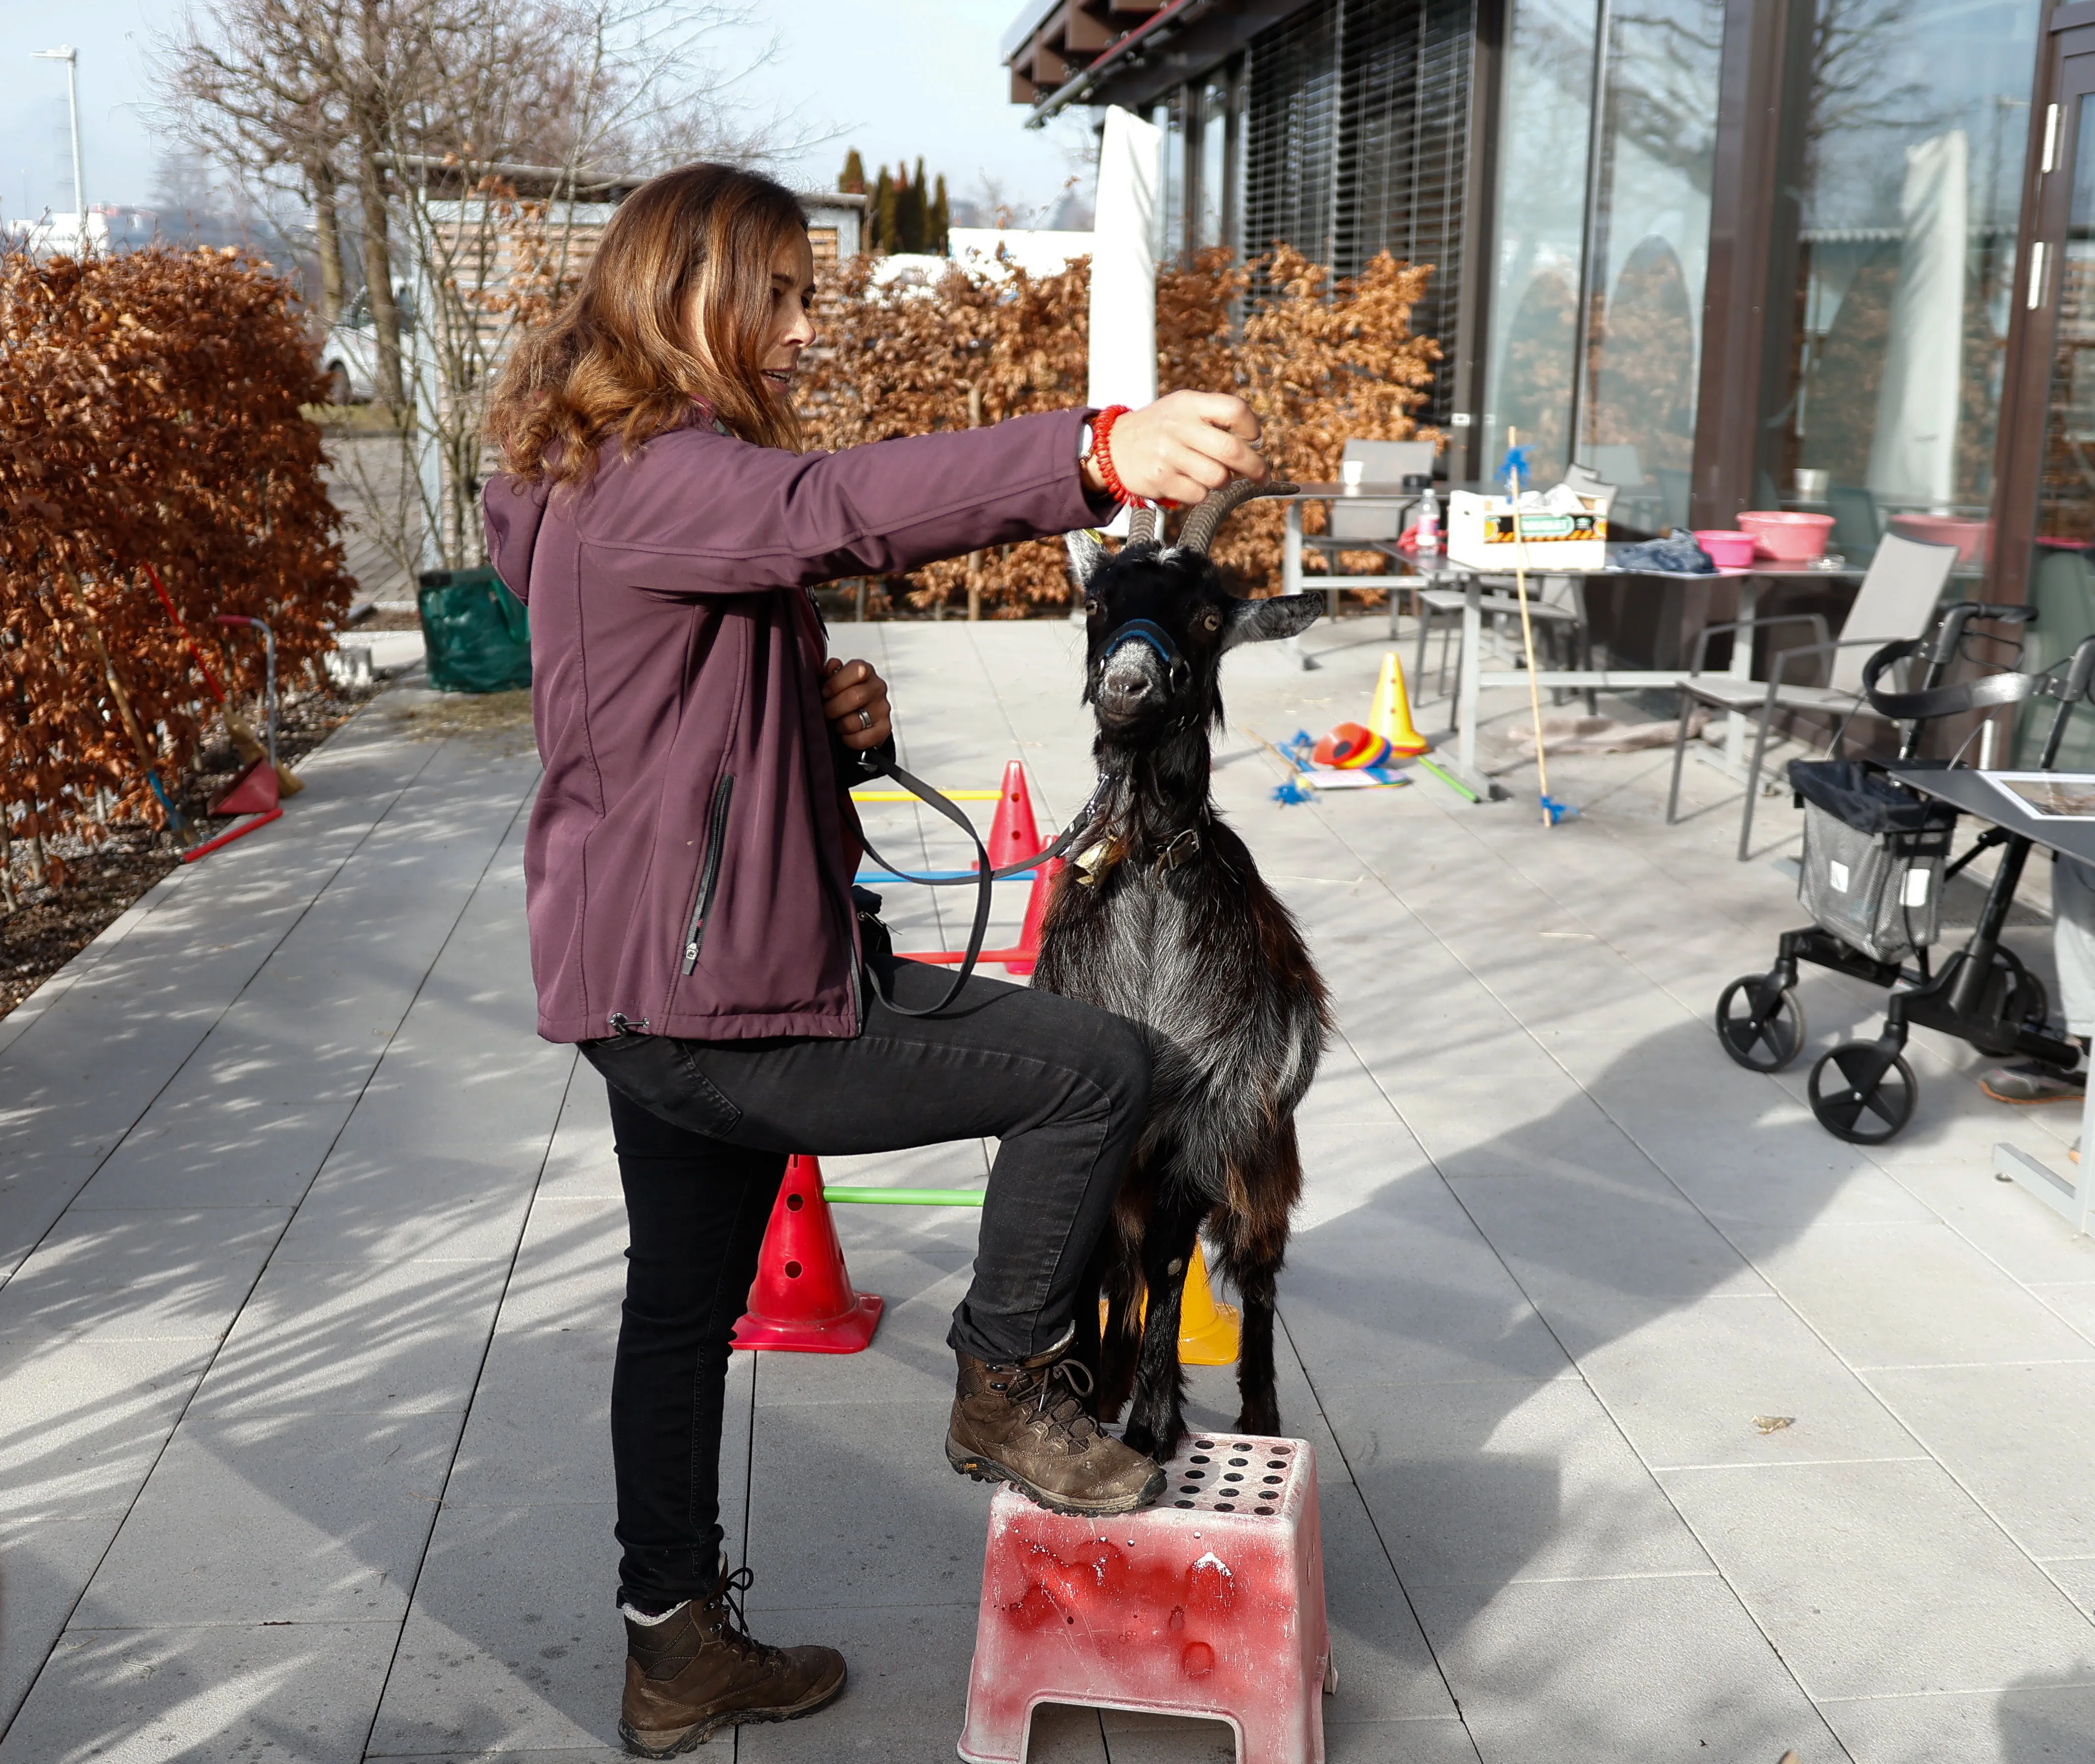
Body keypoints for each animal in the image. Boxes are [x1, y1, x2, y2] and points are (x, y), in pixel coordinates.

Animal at [1039, 481, 1332, 1458]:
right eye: (1098, 603)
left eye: (1206, 617)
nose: (1126, 687)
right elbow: (1093, 1253)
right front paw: (1081, 1395)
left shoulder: (1201, 1117)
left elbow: (1171, 1259)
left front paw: (1153, 1424)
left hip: (1264, 1156)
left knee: (1256, 1271)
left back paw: (1259, 1417)